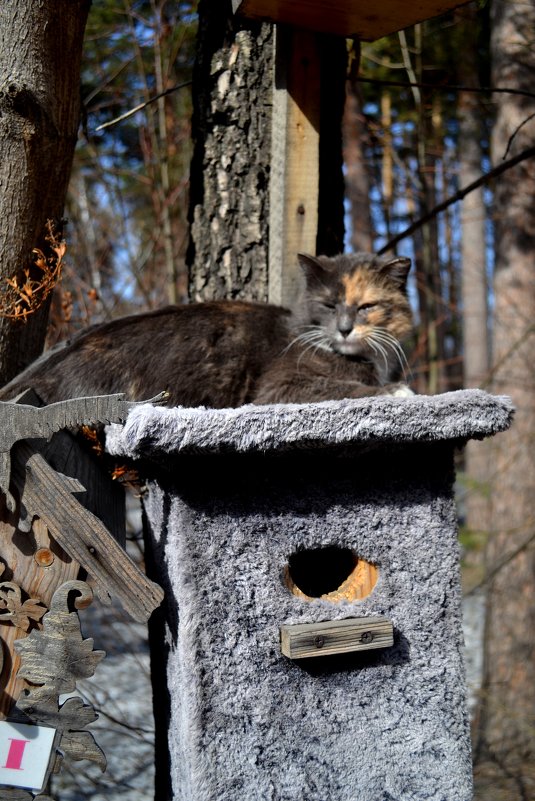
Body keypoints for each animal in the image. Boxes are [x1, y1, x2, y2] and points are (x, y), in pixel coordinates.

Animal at [0, 252, 414, 406]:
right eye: (329, 305)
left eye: (366, 307)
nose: (344, 329)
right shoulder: (281, 386)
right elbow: (345, 387)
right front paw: (398, 390)